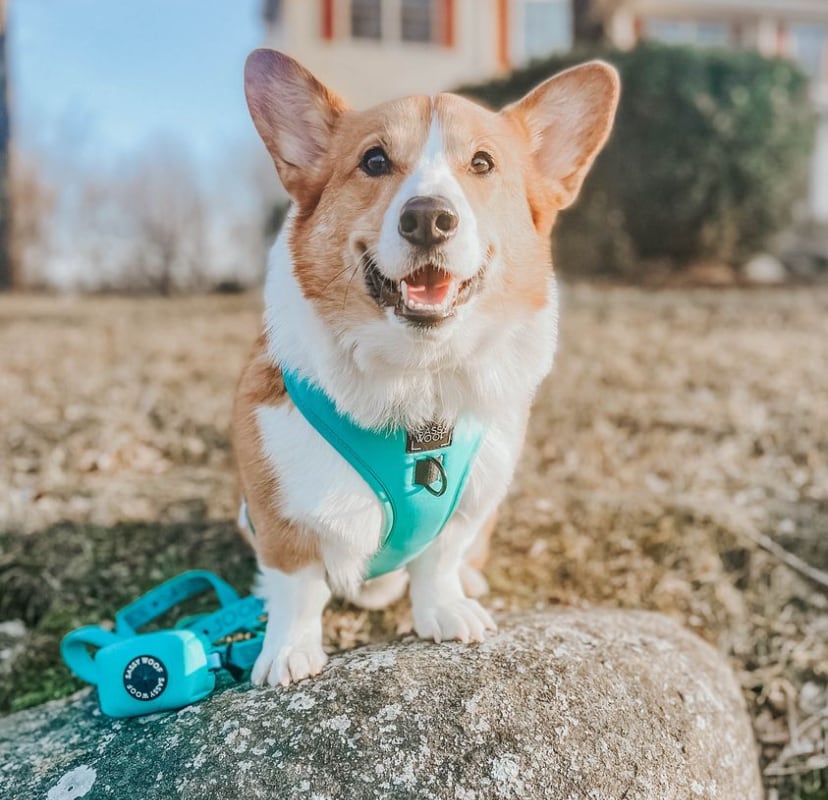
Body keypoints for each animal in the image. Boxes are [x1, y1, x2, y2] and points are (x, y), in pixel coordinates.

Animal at [233, 49, 619, 686]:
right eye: (374, 160)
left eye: (483, 163)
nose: (428, 219)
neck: (419, 378)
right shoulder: (279, 516)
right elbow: (297, 588)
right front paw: (287, 651)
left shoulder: (468, 507)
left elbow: (439, 560)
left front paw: (445, 610)